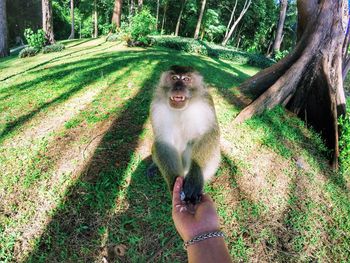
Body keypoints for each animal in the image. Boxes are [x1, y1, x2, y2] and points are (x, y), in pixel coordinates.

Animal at [148, 65, 220, 205]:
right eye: (174, 78)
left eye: (186, 79)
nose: (178, 88)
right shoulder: (157, 105)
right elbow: (163, 140)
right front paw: (174, 183)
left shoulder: (206, 102)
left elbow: (209, 133)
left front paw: (195, 178)